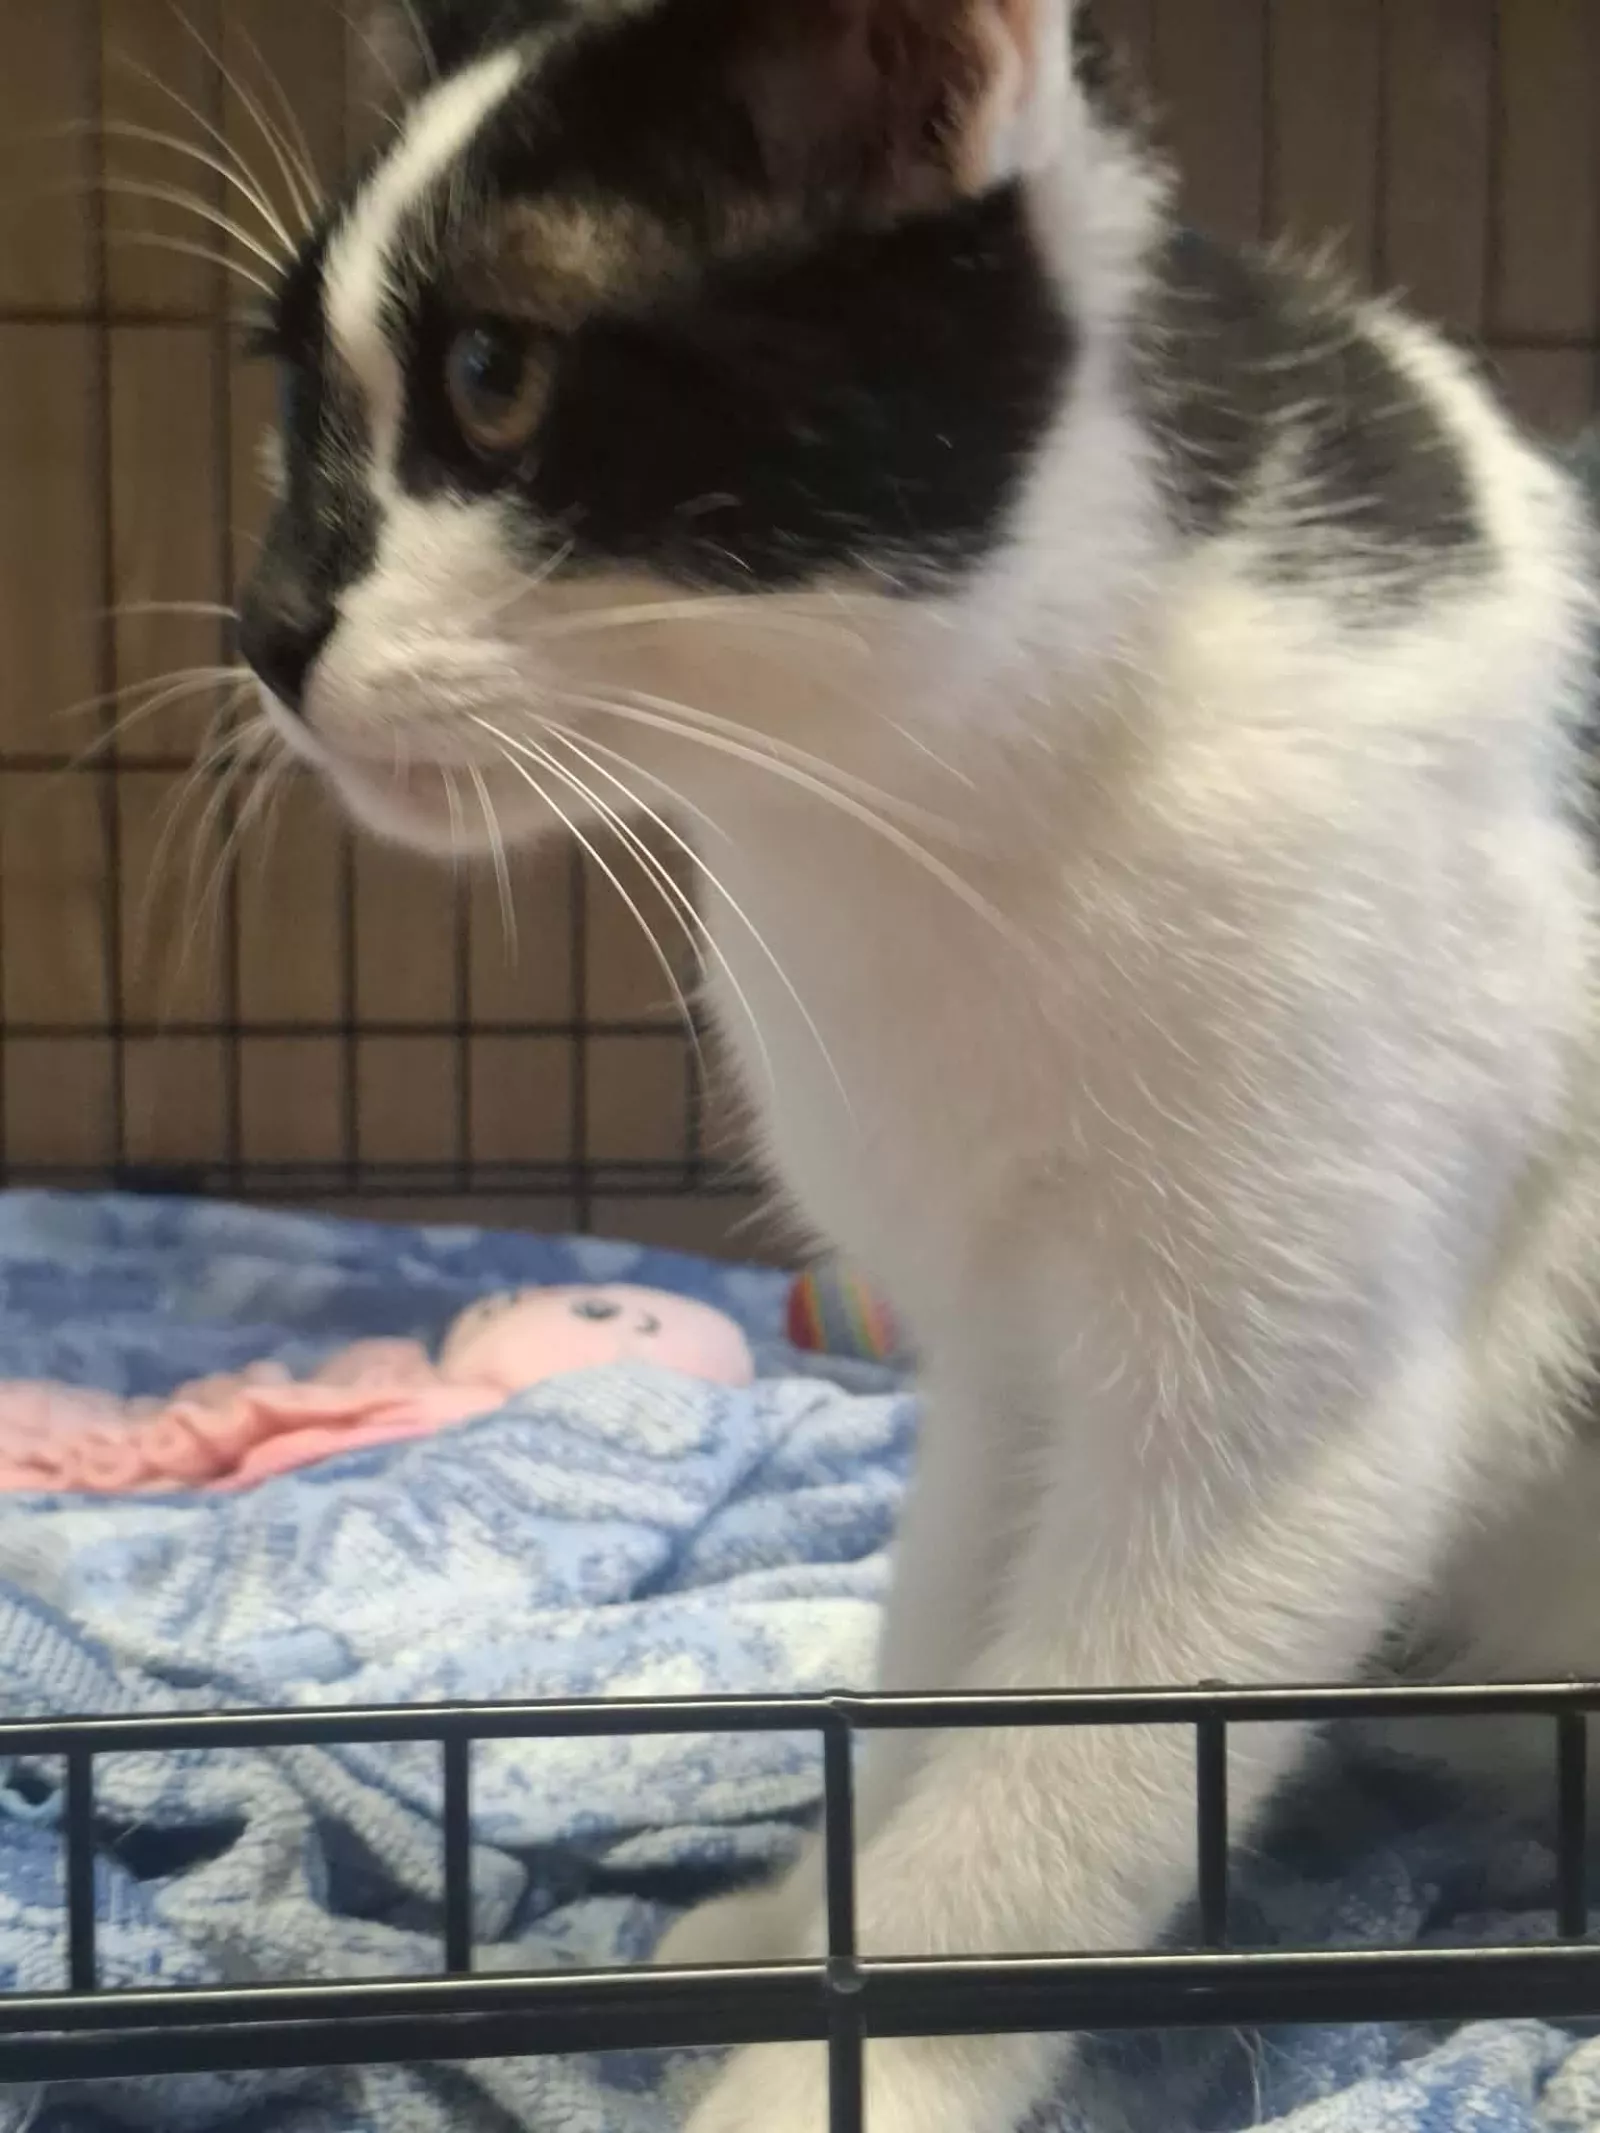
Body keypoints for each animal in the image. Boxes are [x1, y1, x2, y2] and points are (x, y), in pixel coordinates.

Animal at [236, 3, 1600, 2129]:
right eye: (291, 387)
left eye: (492, 372)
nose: (269, 627)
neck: (921, 807)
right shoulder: (1002, 1349)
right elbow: (943, 1653)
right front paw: (803, 1923)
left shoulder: (1291, 1388)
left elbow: (1085, 1751)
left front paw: (852, 2066)